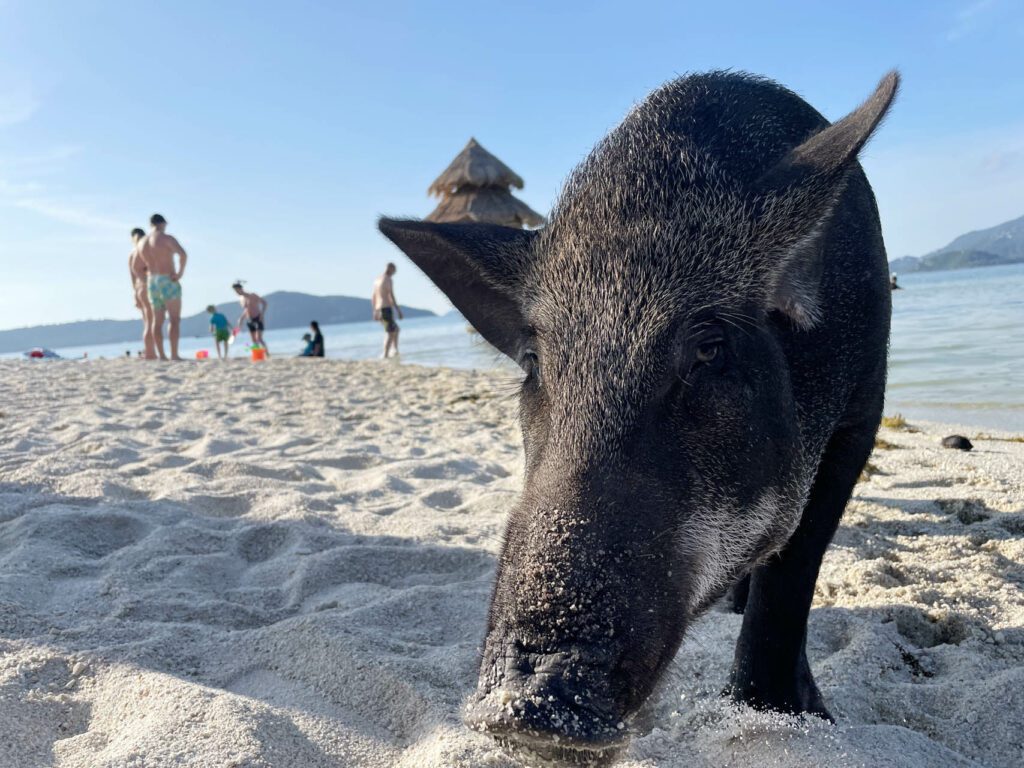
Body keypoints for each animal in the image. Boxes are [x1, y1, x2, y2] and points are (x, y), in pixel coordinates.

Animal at [379, 69, 899, 766]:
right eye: (534, 362)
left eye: (709, 350)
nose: (525, 709)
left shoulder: (862, 410)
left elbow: (796, 564)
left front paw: (785, 716)